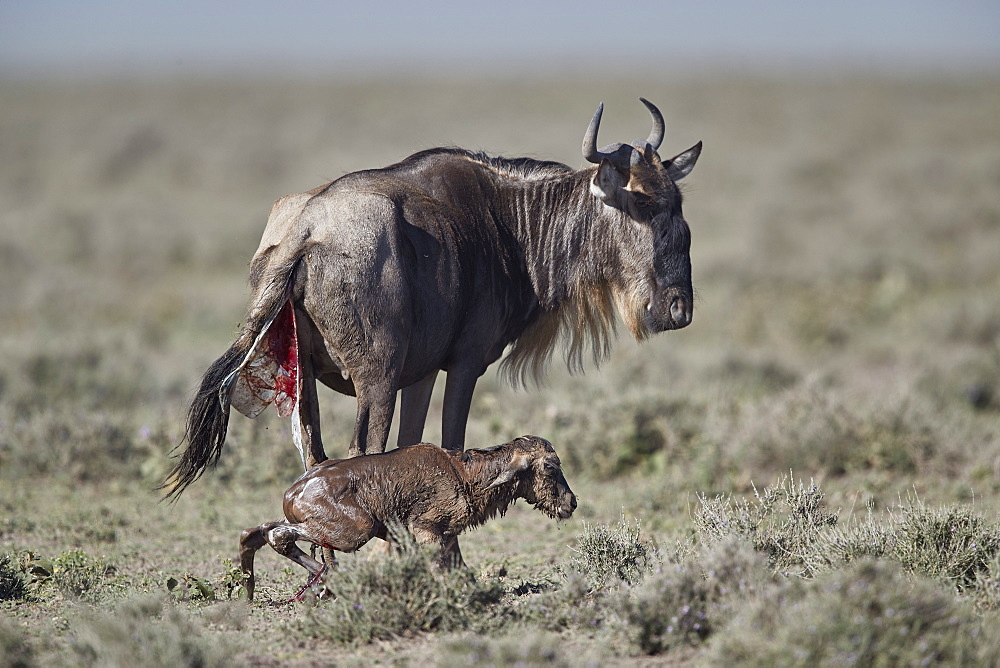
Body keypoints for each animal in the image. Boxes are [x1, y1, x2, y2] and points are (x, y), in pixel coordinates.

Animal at [237, 436, 576, 604]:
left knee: (254, 531)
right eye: (550, 466)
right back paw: (332, 581)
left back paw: (251, 590)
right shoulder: (426, 529)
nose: (571, 503)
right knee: (278, 535)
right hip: (354, 532)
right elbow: (439, 569)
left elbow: (456, 568)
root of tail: (293, 492)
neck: (463, 473)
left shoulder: (439, 535)